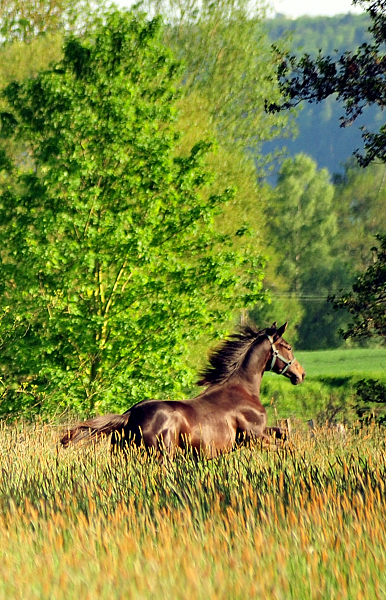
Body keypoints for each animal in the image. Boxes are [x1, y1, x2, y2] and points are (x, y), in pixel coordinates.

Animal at [61, 326, 304, 458]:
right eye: (288, 347)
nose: (301, 374)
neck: (242, 390)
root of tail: (130, 415)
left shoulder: (261, 432)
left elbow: (283, 432)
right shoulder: (255, 437)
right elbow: (284, 445)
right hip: (162, 455)